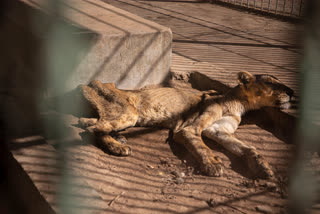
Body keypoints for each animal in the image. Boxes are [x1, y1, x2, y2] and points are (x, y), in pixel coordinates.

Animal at [77, 72, 292, 179]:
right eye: (270, 83)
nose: (292, 92)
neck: (240, 105)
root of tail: (89, 83)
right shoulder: (189, 128)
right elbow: (201, 146)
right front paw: (213, 164)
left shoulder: (219, 130)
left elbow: (248, 148)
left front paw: (262, 166)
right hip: (129, 113)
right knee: (94, 129)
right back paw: (118, 146)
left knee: (91, 123)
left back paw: (117, 136)